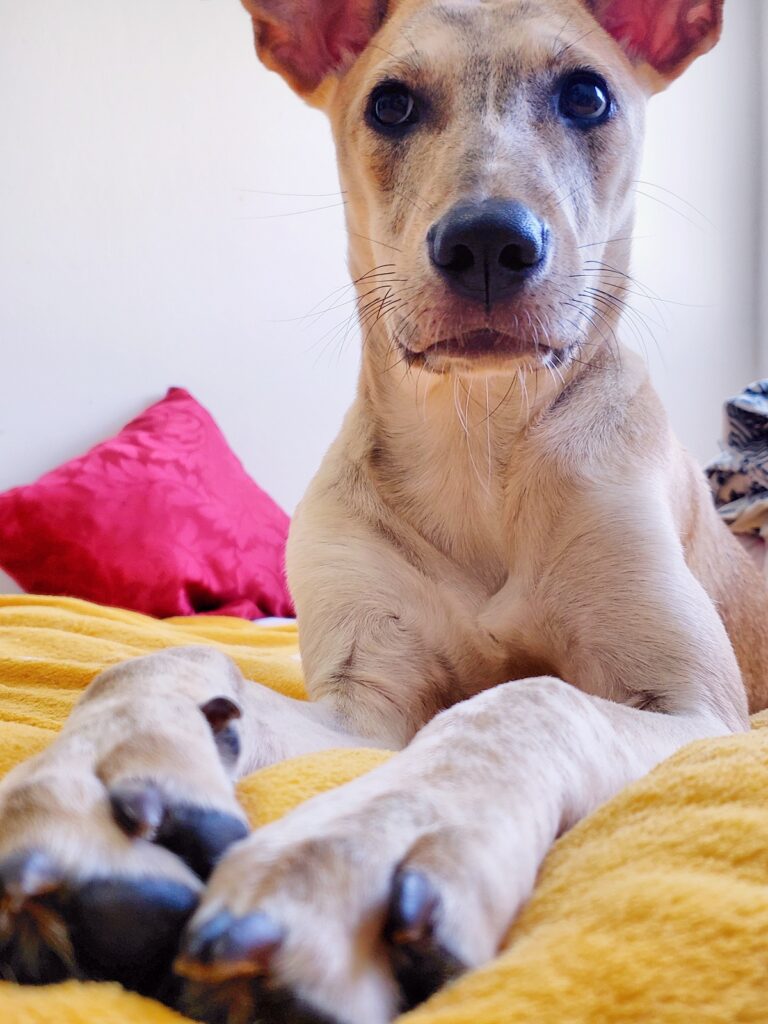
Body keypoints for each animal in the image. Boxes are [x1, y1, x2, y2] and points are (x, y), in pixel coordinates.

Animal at [1, 2, 768, 1024]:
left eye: (587, 95)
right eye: (391, 104)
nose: (487, 245)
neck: (480, 449)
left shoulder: (698, 709)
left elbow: (526, 699)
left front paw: (365, 845)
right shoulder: (365, 709)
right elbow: (160, 658)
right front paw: (98, 782)